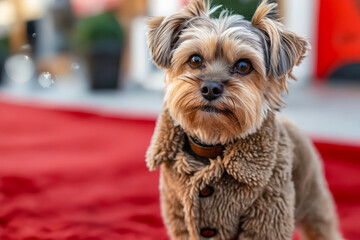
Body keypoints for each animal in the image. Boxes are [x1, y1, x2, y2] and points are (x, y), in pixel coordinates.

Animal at [146, 0, 344, 239]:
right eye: (195, 60)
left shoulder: (268, 213)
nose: (211, 88)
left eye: (243, 65)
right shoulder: (178, 209)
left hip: (310, 191)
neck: (212, 144)